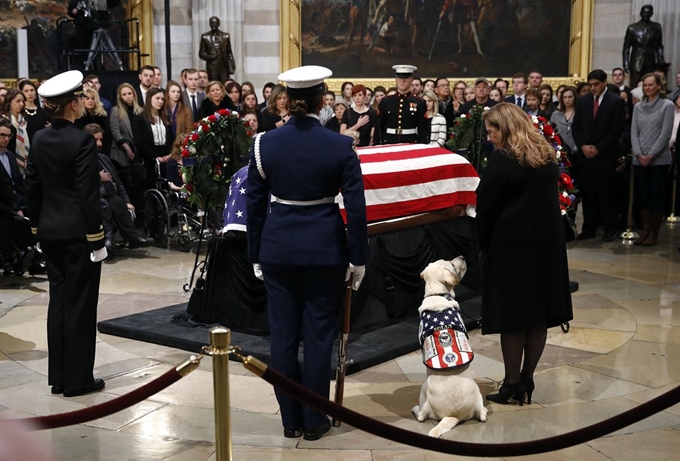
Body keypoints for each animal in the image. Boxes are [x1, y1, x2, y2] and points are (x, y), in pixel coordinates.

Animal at [412, 256, 486, 436]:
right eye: (451, 264)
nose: (463, 257)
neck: (436, 293)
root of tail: (454, 416)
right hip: (478, 395)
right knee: (482, 414)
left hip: (424, 389)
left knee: (421, 416)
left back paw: (415, 409)